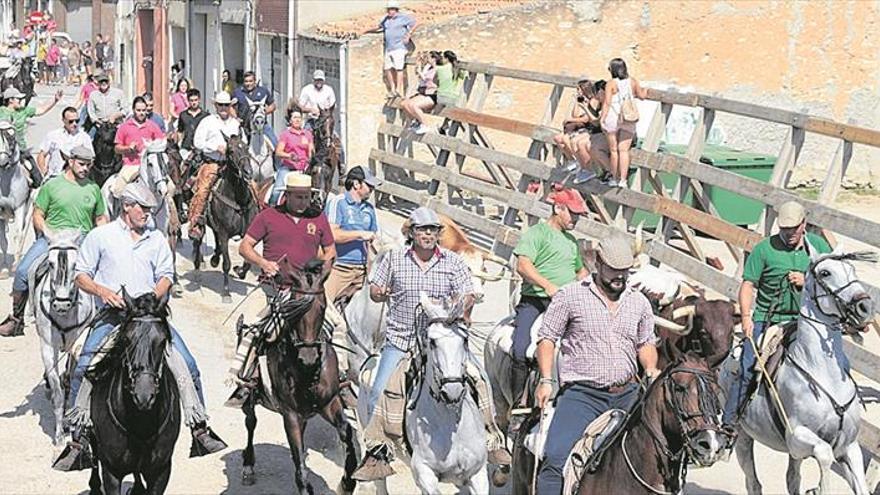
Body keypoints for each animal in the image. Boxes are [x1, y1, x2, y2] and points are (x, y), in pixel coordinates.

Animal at [29, 229, 94, 446]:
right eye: (50, 264)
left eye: (76, 265)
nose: (61, 304)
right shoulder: (48, 346)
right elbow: (57, 391)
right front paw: (58, 436)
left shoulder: (79, 342)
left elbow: (71, 380)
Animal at [87, 290, 181, 495]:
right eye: (126, 339)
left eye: (162, 341)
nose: (144, 395)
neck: (141, 422)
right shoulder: (112, 472)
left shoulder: (161, 470)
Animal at [192, 134, 258, 302]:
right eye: (231, 151)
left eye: (246, 147)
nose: (248, 172)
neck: (238, 200)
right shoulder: (224, 233)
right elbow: (227, 263)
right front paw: (226, 292)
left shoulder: (246, 233)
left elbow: (248, 261)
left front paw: (240, 270)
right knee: (198, 241)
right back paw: (197, 269)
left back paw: (215, 259)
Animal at [239, 262, 360, 494]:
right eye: (294, 309)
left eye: (322, 307)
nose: (308, 358)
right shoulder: (290, 414)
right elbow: (300, 468)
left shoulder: (329, 403)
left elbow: (345, 432)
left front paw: (347, 482)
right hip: (251, 394)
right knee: (250, 422)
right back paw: (248, 465)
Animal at [724, 248, 876, 495]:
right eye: (825, 273)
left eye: (852, 269)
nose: (865, 307)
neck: (823, 373)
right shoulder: (796, 438)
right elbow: (824, 454)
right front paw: (819, 488)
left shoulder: (849, 446)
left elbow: (861, 486)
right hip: (744, 438)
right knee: (753, 483)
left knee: (792, 478)